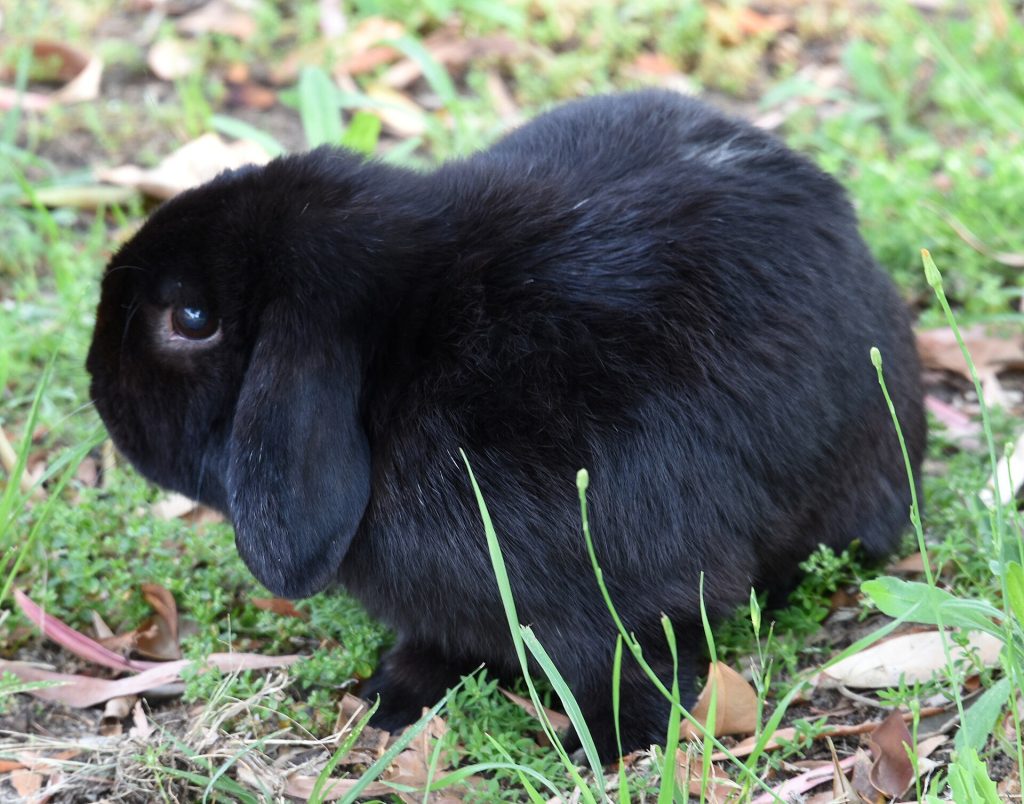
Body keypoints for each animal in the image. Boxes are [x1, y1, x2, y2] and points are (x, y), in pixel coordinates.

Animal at [87, 89, 926, 761]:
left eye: (192, 318)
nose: (96, 380)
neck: (409, 358)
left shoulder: (635, 598)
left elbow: (632, 666)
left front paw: (610, 751)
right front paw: (392, 696)